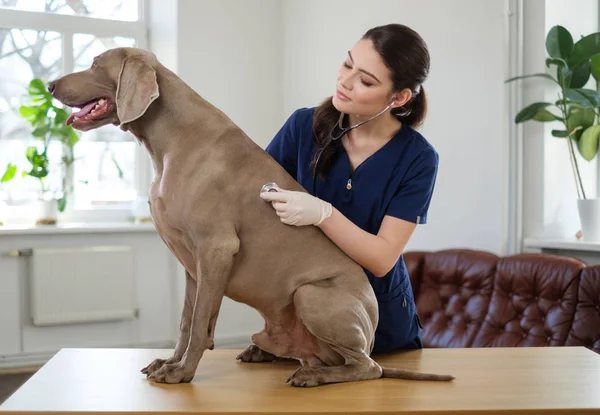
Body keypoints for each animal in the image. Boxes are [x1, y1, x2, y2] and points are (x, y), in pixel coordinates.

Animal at [48, 46, 454, 386]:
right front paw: (170, 362)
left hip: (312, 295)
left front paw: (182, 372)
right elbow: (186, 321)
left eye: (95, 64)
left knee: (368, 368)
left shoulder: (216, 248)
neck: (172, 139)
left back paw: (315, 377)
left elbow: (200, 324)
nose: (50, 84)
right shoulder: (192, 264)